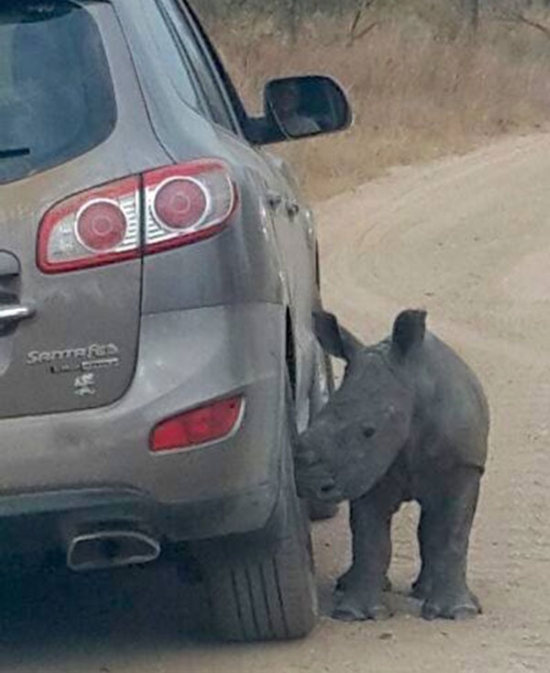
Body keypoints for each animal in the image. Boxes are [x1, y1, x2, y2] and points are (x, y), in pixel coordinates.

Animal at [298, 308, 492, 620]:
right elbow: (370, 538)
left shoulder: (463, 466)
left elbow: (452, 534)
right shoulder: (368, 469)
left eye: (369, 431)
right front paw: (355, 614)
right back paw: (351, 586)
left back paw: (424, 592)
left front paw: (459, 613)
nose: (308, 483)